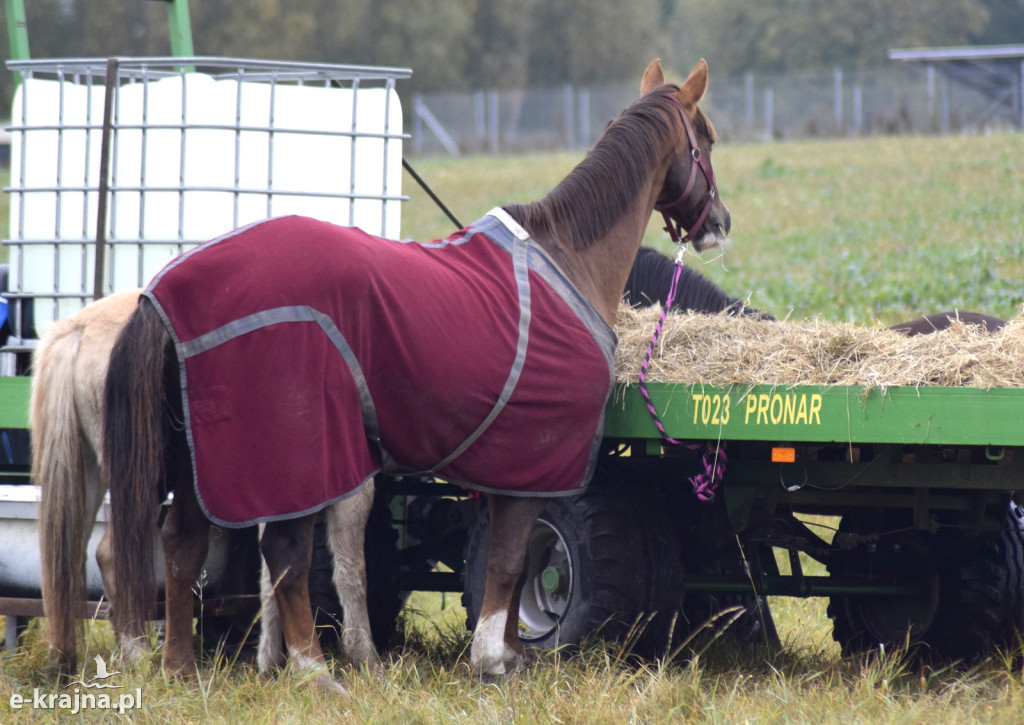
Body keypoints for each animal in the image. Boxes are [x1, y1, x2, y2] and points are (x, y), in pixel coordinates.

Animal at [101, 59, 729, 688]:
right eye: (708, 139)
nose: (720, 223)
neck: (568, 257)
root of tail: (164, 292)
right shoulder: (534, 464)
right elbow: (510, 562)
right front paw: (493, 659)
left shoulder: (508, 472)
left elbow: (507, 566)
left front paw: (511, 654)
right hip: (301, 458)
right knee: (284, 553)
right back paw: (314, 670)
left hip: (199, 463)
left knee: (183, 545)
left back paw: (181, 667)